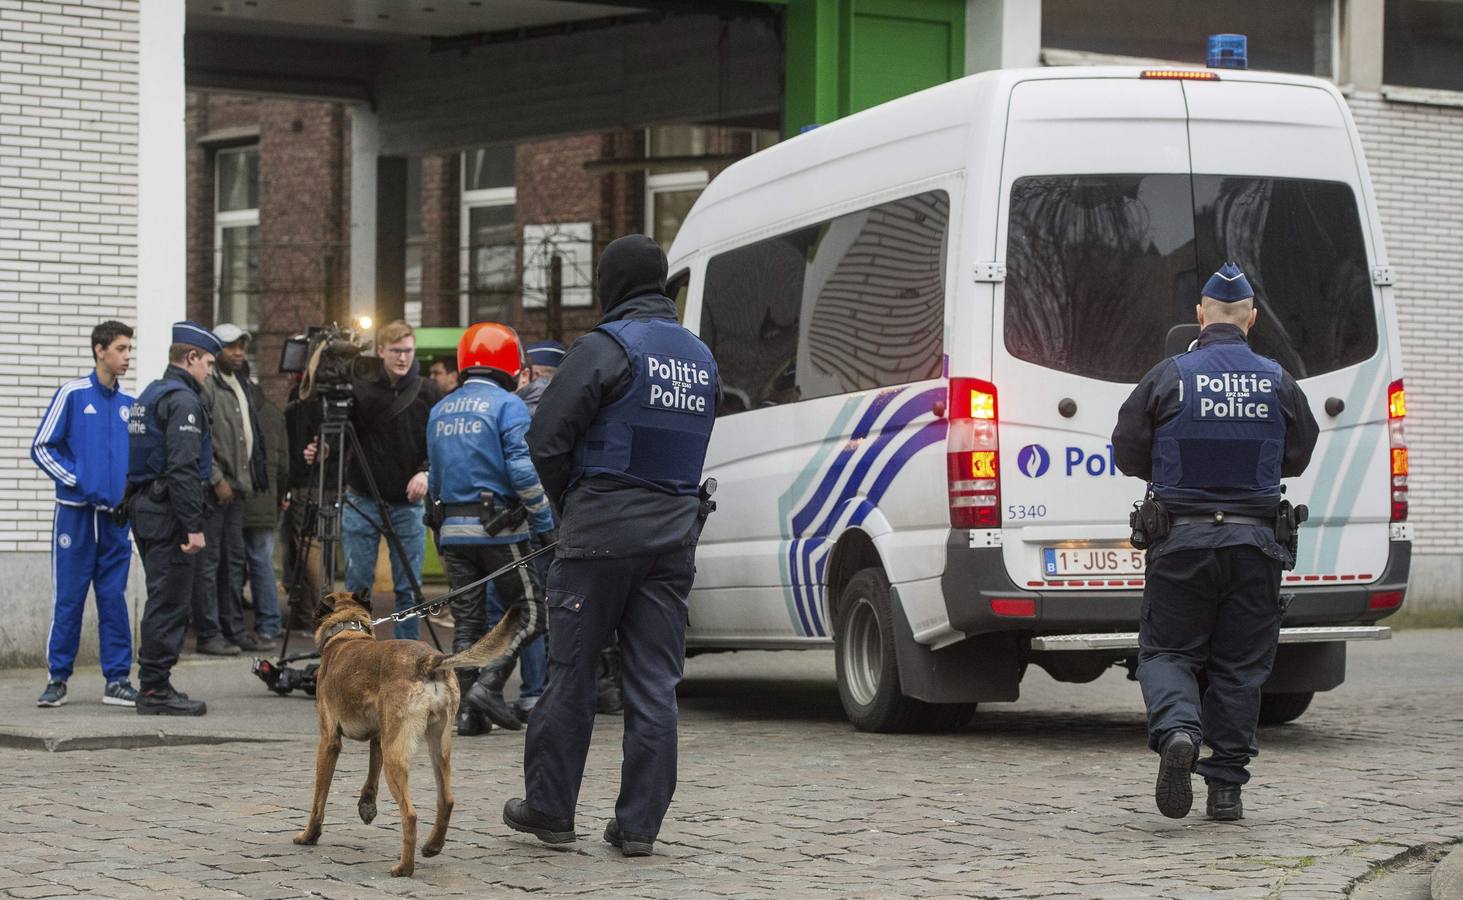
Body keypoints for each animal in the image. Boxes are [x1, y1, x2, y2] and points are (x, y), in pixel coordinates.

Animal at [291, 591, 520, 878]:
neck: (348, 632)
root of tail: (429, 661)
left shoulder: (329, 742)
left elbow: (318, 798)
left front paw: (309, 835)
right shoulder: (379, 737)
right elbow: (371, 775)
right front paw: (367, 806)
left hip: (395, 755)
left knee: (410, 814)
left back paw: (404, 867)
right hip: (436, 746)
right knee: (447, 799)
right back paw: (433, 846)